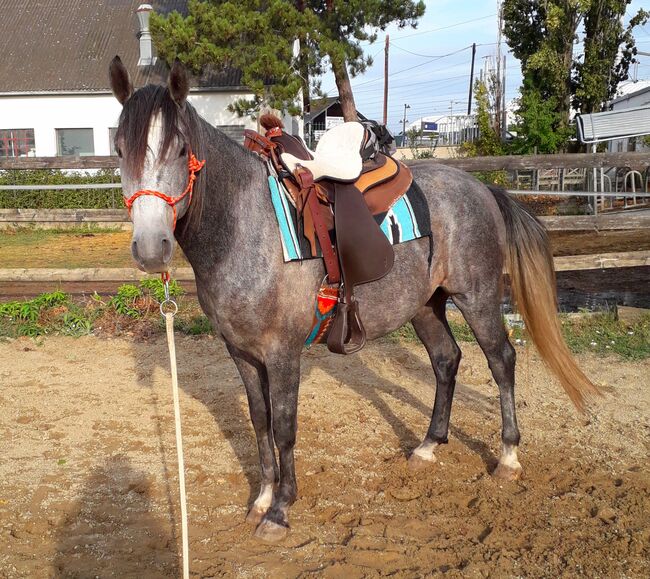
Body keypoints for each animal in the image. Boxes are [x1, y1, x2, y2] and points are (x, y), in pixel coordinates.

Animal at [107, 56, 596, 540]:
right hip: (425, 305)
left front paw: (280, 509)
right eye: (119, 149)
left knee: (501, 361)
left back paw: (508, 456)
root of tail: (483, 189)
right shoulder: (241, 353)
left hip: (475, 297)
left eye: (180, 148)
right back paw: (428, 446)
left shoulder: (282, 353)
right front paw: (262, 497)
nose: (151, 248)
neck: (245, 228)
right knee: (446, 360)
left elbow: (284, 427)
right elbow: (259, 421)